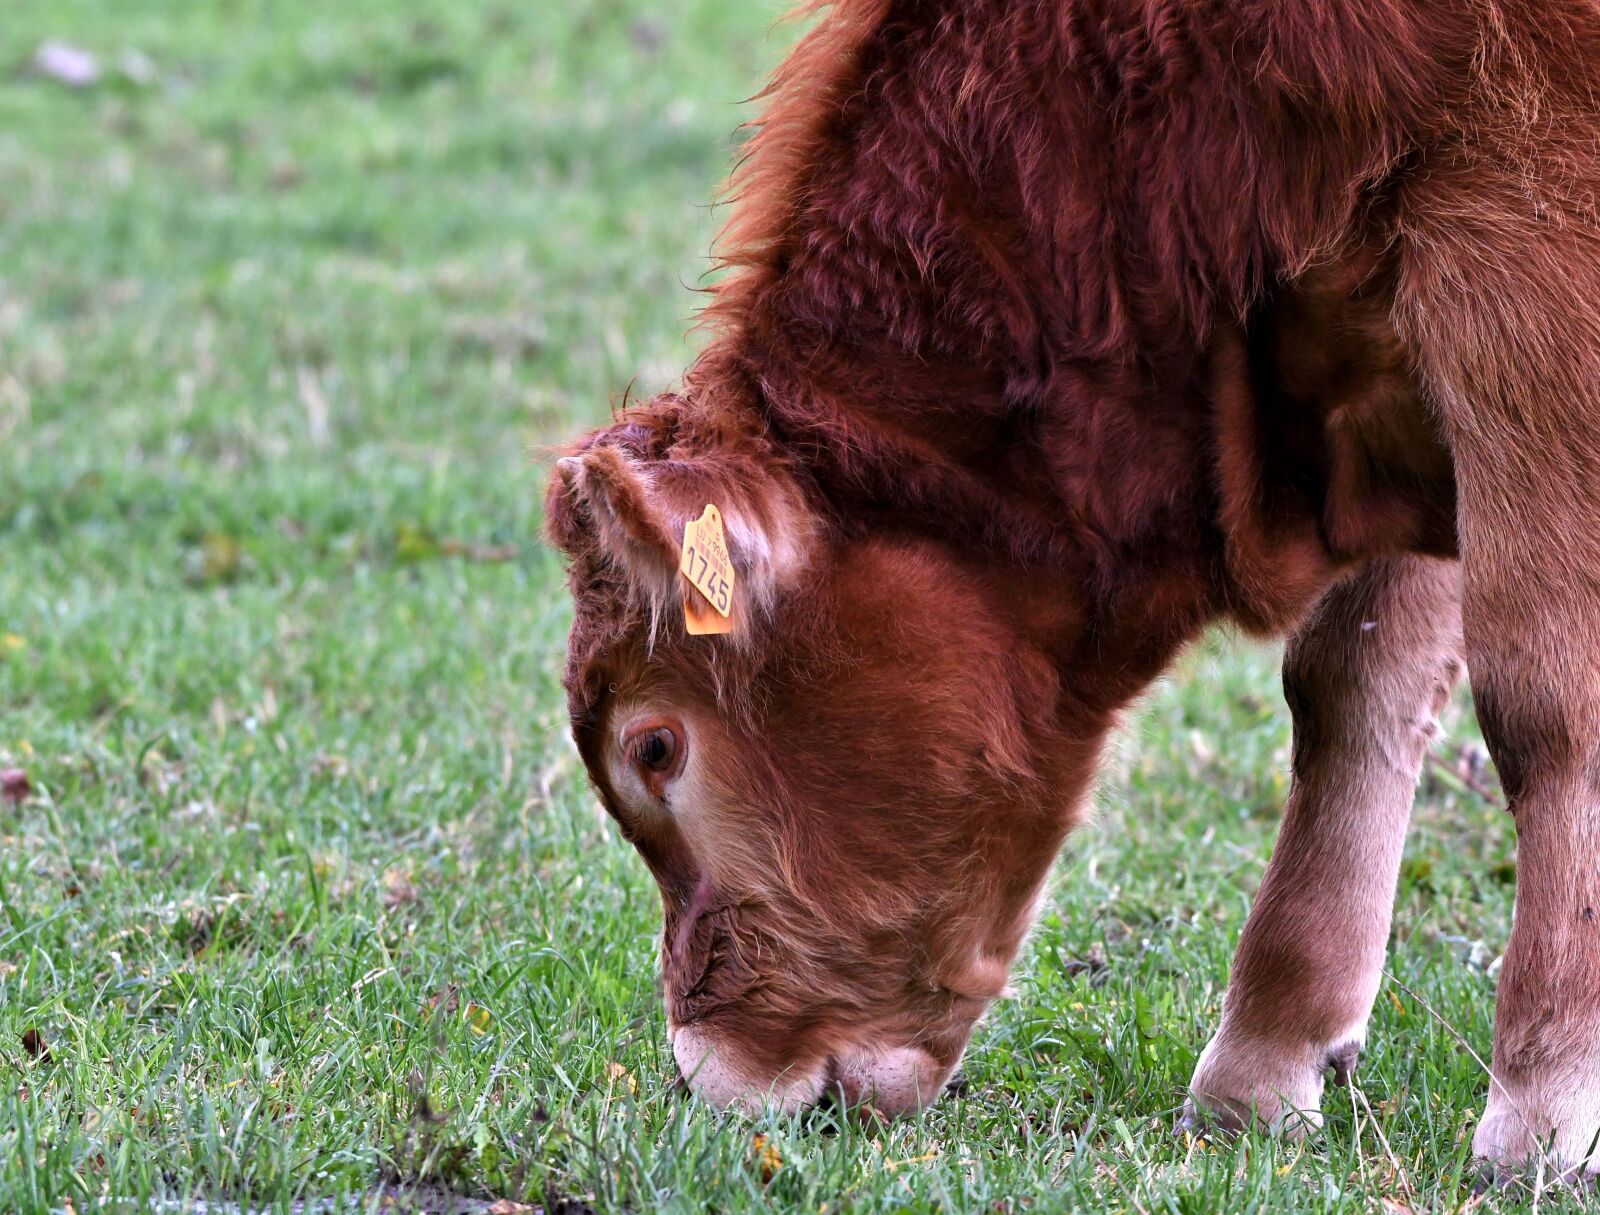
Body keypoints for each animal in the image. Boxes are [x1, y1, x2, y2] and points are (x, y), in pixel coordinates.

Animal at [545, 0, 1600, 1180]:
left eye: (653, 747)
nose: (702, 1077)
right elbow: (1354, 683)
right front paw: (1264, 1065)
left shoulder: (1521, 268)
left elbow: (1545, 710)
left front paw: (1541, 1112)